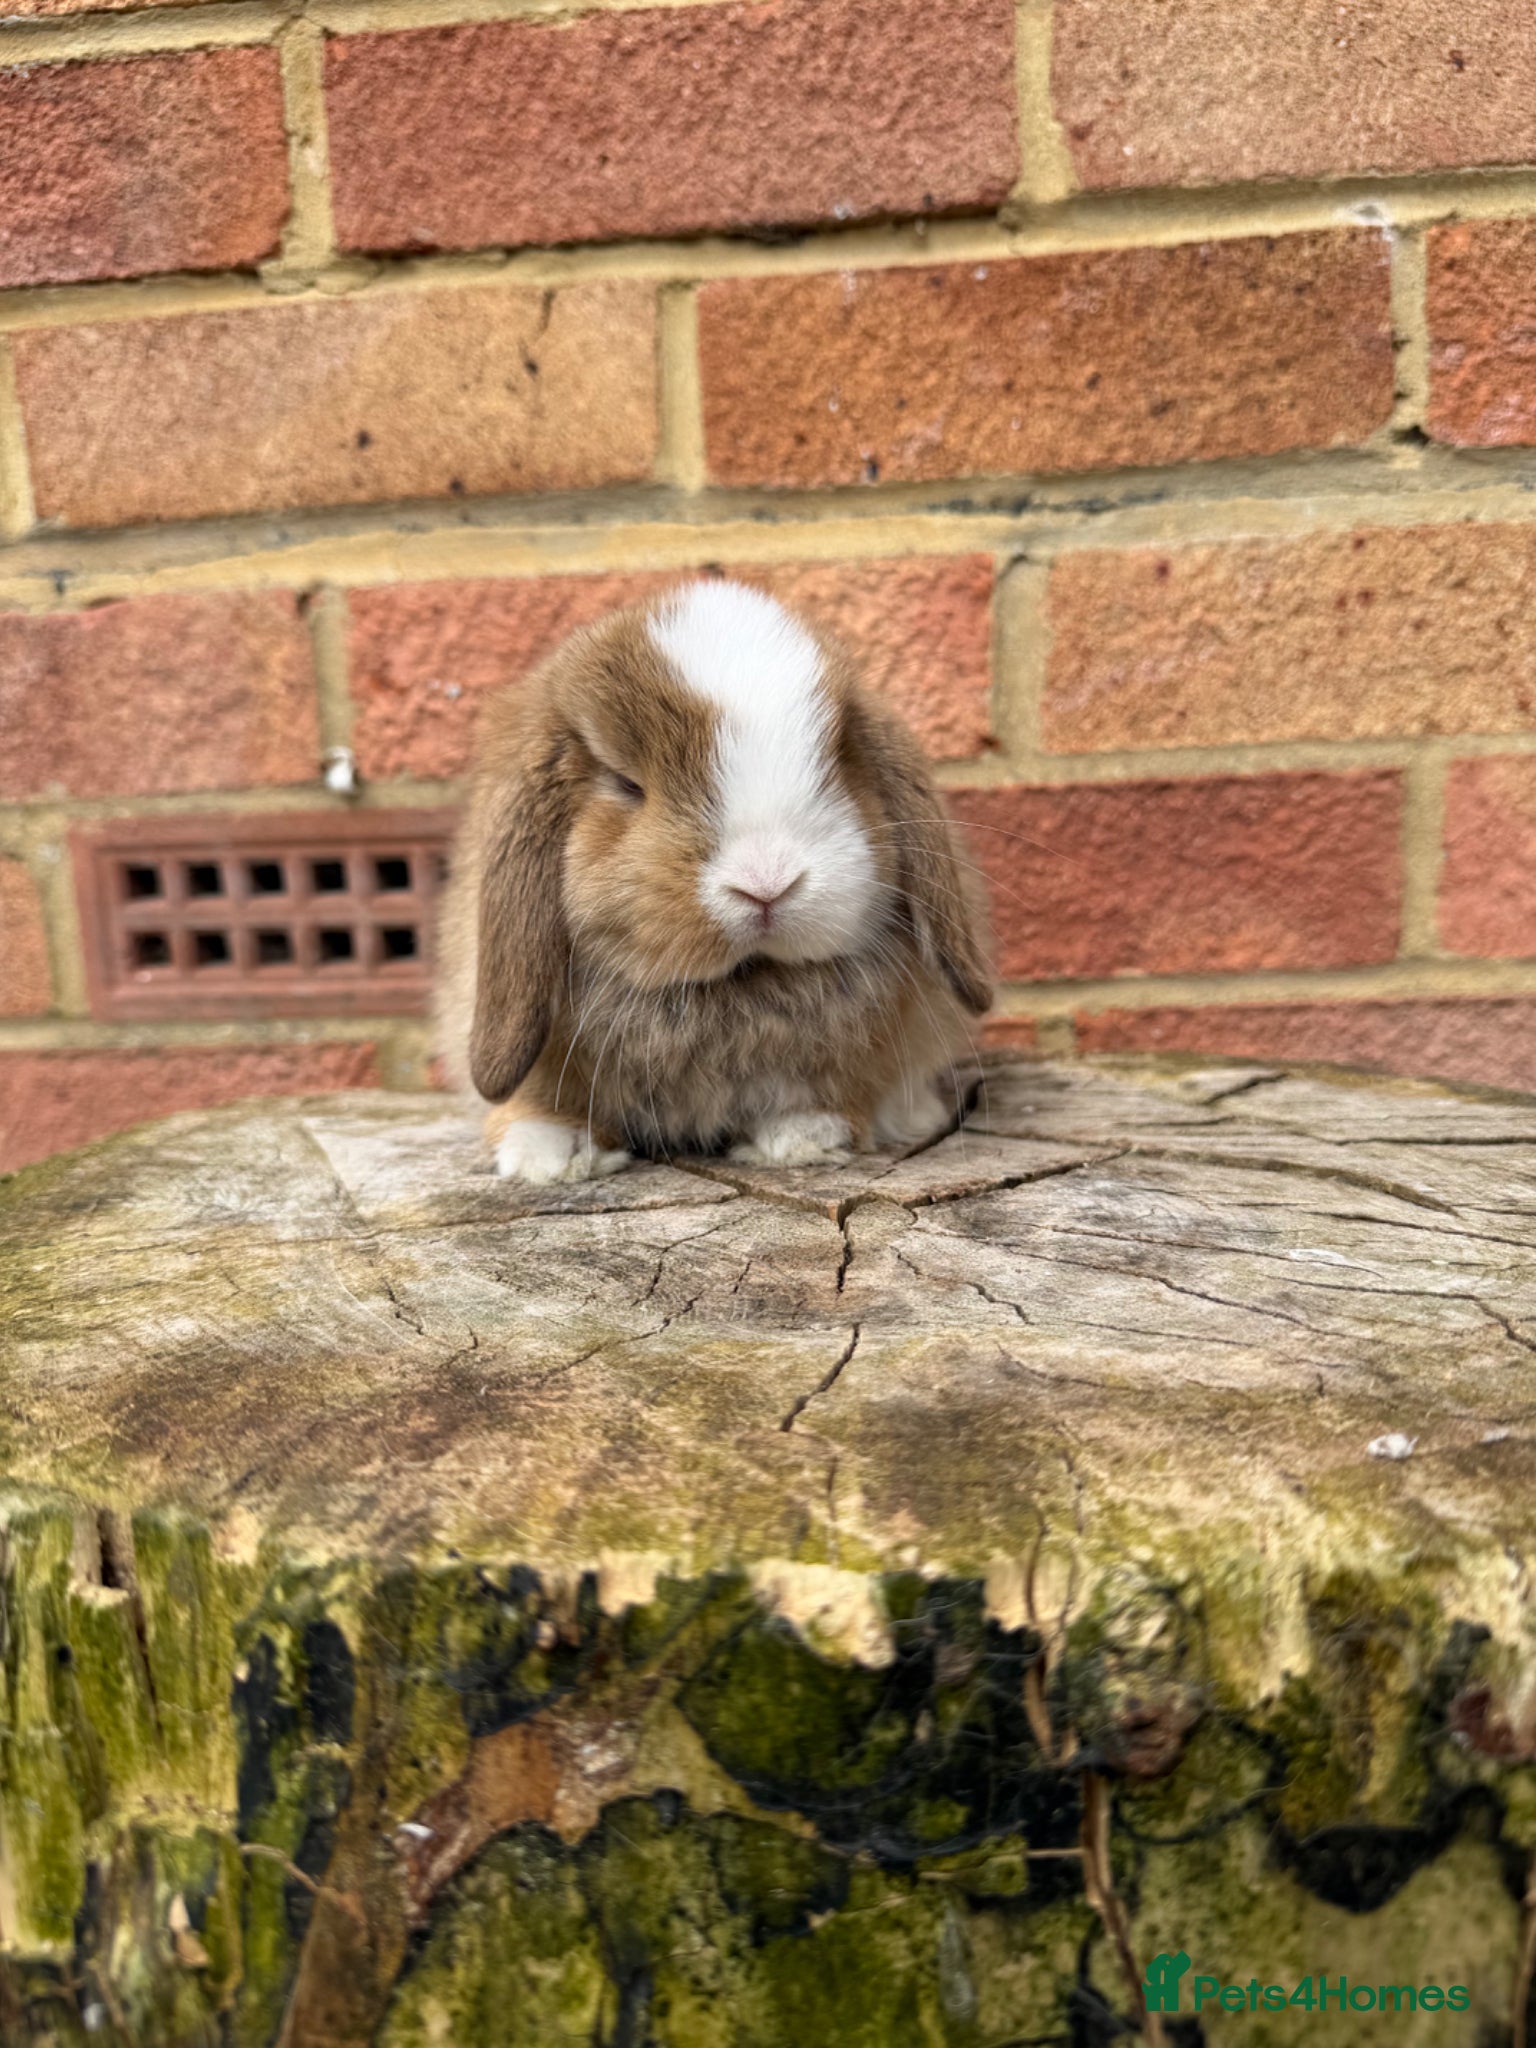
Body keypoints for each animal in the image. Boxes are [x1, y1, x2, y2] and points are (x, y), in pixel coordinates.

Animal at [436, 578, 992, 1184]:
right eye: (626, 783)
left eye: (838, 764)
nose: (767, 882)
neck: (732, 988)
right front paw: (548, 1154)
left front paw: (803, 1137)